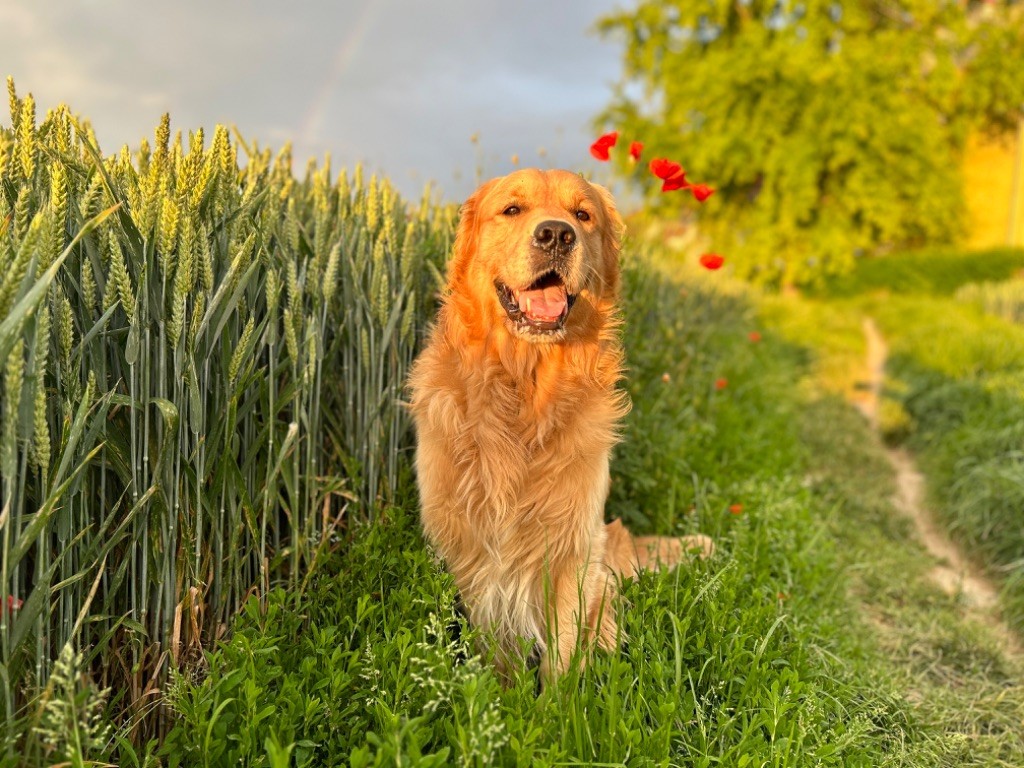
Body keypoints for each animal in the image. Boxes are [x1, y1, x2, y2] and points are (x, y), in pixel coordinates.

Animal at [407, 169, 712, 684]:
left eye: (582, 215)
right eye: (512, 209)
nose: (555, 234)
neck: (526, 393)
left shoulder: (574, 544)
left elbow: (563, 656)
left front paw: (558, 702)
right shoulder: (470, 546)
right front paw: (500, 692)